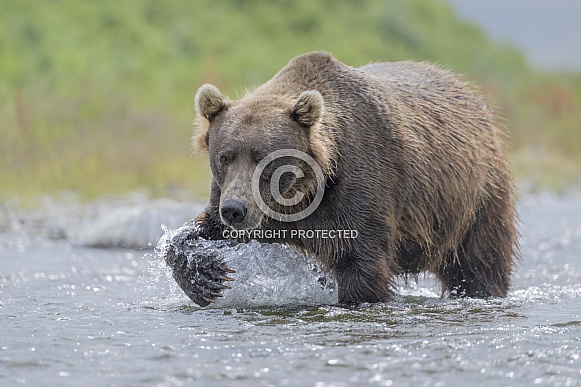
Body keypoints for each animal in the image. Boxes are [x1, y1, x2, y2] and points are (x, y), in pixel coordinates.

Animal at [189, 51, 516, 306]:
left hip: (474, 200)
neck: (305, 192)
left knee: (479, 263)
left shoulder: (360, 186)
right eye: (225, 157)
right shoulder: (247, 204)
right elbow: (202, 229)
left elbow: (361, 264)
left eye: (264, 158)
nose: (235, 210)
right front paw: (205, 275)